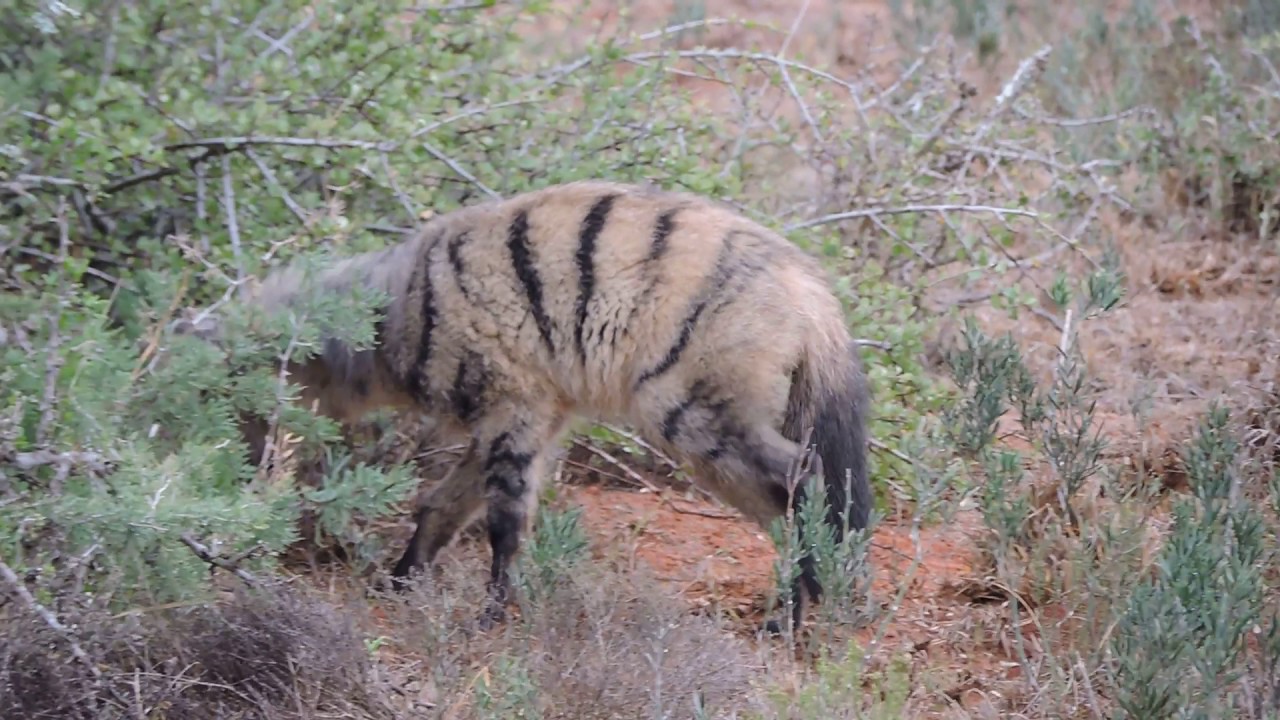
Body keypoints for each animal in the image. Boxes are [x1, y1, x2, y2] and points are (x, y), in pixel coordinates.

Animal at [172, 179, 874, 635]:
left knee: (801, 478)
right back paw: (807, 596)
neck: (394, 315)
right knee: (791, 494)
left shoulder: (514, 402)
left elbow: (504, 522)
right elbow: (442, 506)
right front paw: (400, 581)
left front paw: (490, 617)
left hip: (687, 409)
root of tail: (812, 291)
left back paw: (792, 611)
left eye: (228, 404)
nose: (236, 473)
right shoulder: (536, 413)